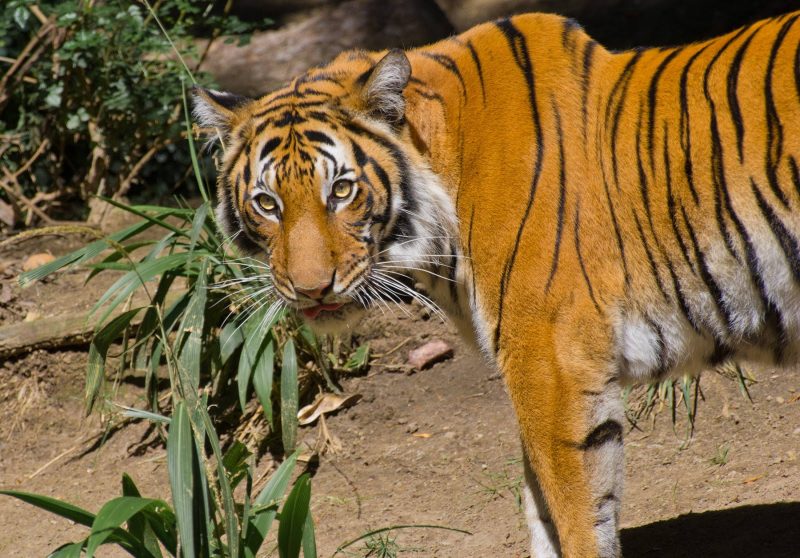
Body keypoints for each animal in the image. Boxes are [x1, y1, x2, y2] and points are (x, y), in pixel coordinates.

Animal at [192, 9, 800, 557]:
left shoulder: (550, 362)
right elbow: (541, 511)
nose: (312, 288)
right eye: (267, 203)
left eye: (341, 190)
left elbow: (577, 515)